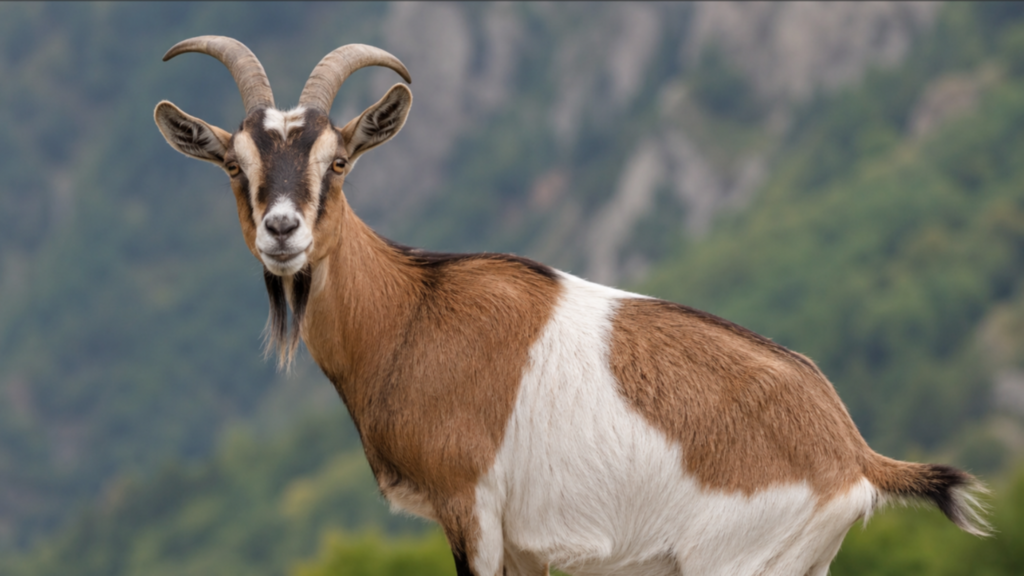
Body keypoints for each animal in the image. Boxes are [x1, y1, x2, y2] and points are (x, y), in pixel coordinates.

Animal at [154, 36, 989, 576]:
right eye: (235, 164)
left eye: (338, 162)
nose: (282, 231)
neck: (411, 312)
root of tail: (850, 451)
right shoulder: (523, 543)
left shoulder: (472, 510)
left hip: (735, 565)